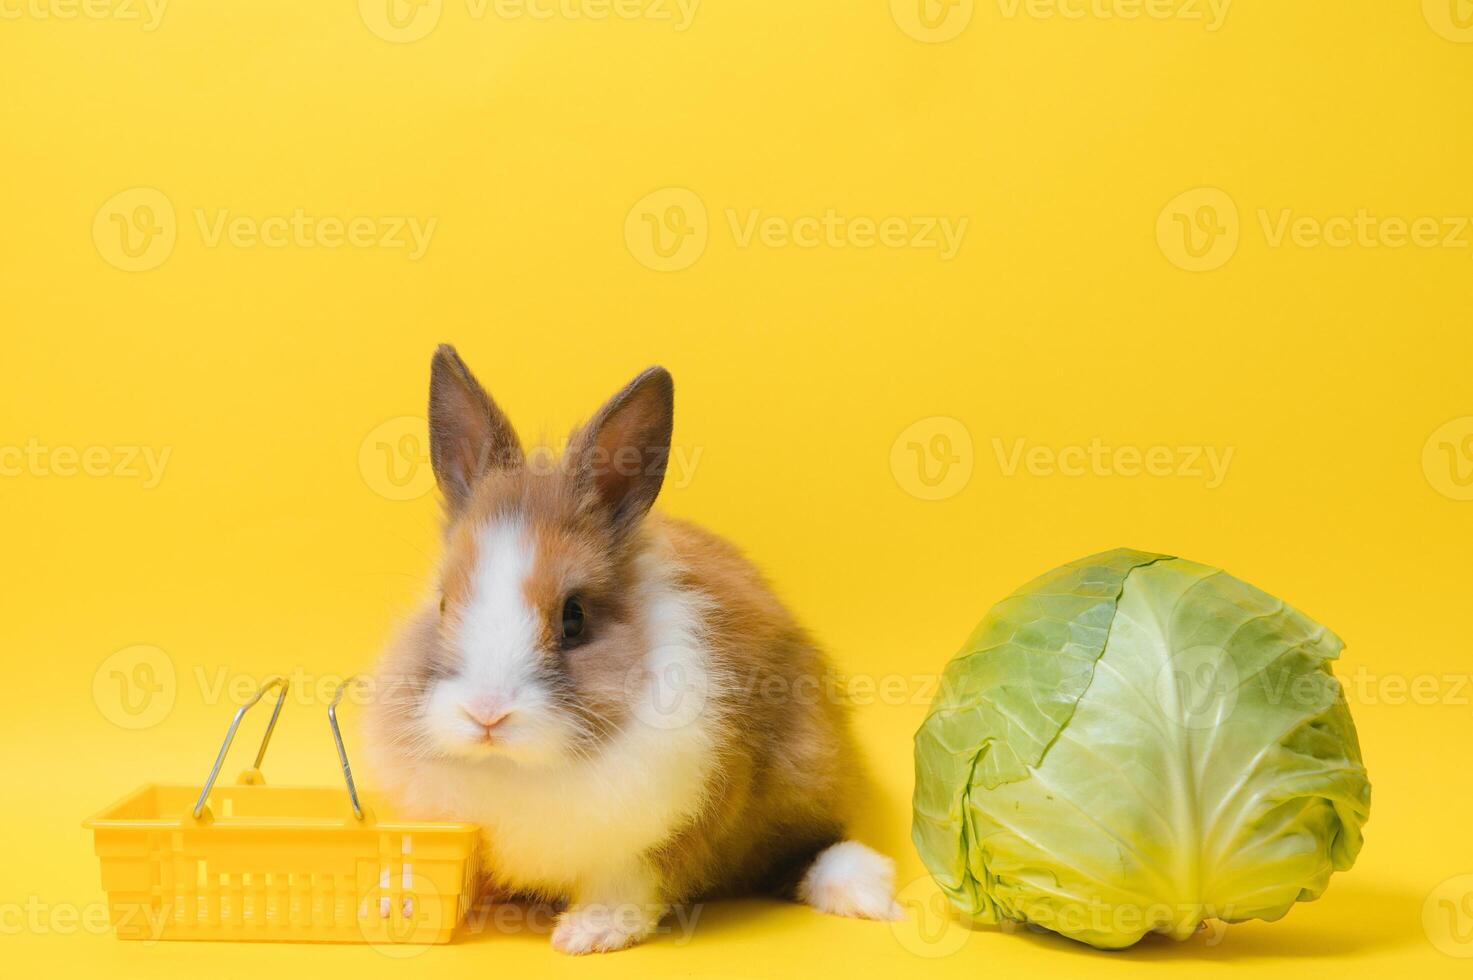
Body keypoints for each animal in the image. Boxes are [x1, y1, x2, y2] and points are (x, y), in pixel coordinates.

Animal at [365, 341, 895, 949]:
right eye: (444, 603)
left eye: (574, 617)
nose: (487, 714)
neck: (518, 766)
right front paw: (395, 903)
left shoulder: (669, 821)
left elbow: (631, 881)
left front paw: (587, 934)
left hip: (808, 770)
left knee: (808, 848)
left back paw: (863, 891)